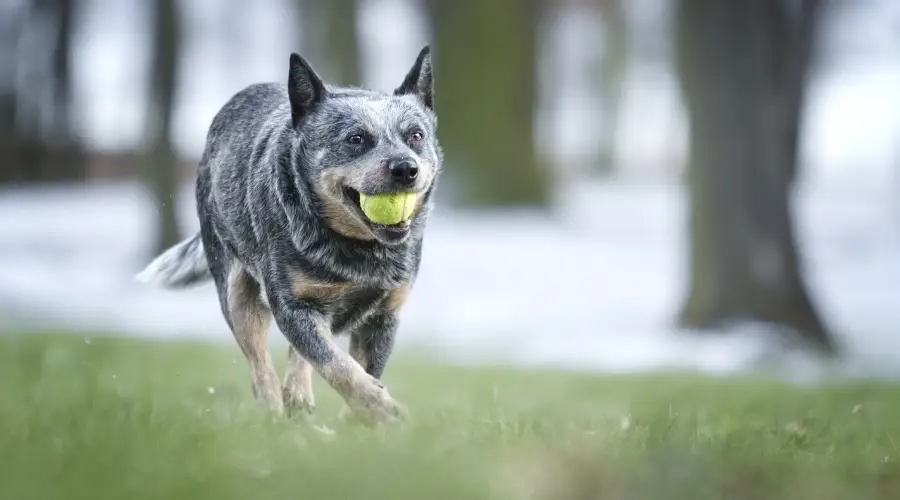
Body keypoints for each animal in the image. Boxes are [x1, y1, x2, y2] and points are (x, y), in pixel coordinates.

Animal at [135, 45, 442, 424]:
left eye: (415, 135)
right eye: (355, 139)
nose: (405, 168)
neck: (359, 251)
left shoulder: (384, 314)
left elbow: (354, 365)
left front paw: (361, 420)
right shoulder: (291, 304)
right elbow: (338, 366)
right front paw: (382, 409)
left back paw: (298, 399)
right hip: (236, 291)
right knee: (261, 369)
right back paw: (276, 418)